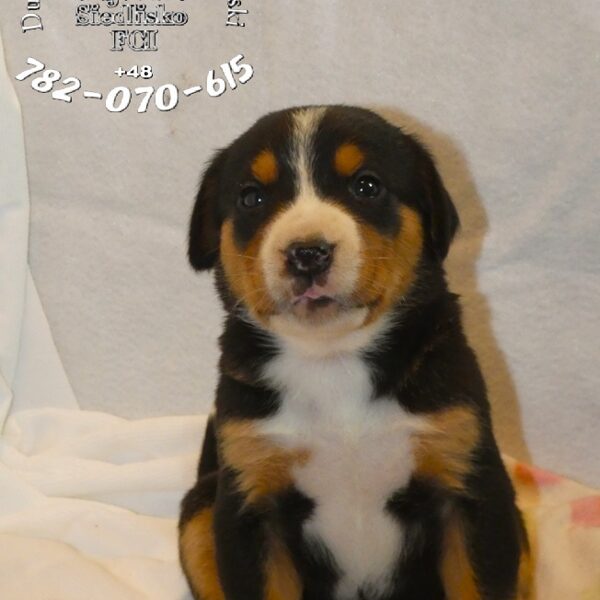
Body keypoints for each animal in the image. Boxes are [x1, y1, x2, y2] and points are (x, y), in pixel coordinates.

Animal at [179, 105, 530, 600]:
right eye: (251, 198)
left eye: (366, 186)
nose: (307, 253)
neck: (332, 360)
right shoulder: (249, 510)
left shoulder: (473, 491)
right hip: (200, 509)